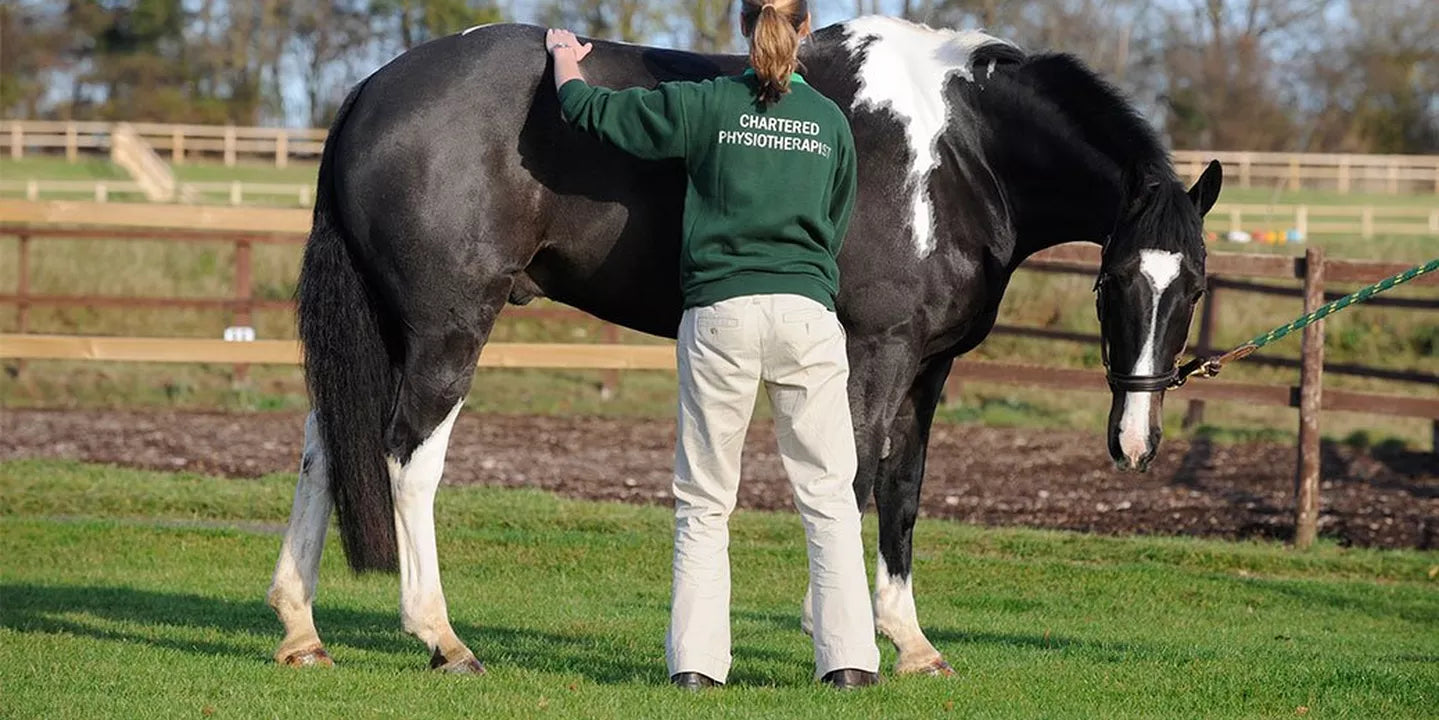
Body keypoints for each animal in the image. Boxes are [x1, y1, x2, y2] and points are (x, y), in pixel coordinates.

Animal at [266, 16, 1222, 676]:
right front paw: (835, 630)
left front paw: (910, 642)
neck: (956, 152)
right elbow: (852, 477)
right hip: (446, 326)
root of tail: (372, 91)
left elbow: (903, 491)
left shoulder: (929, 365)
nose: (1135, 442)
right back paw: (441, 637)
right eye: (1113, 283)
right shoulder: (876, 350)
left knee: (324, 448)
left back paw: (301, 631)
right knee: (405, 456)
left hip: (385, 327)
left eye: (1194, 289)